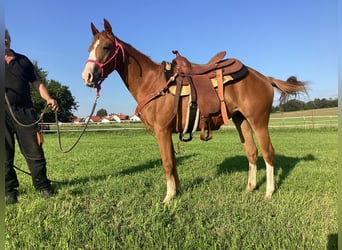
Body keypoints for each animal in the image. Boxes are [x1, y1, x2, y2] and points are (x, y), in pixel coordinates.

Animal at [81, 19, 308, 203]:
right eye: (90, 48)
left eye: (106, 47)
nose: (87, 77)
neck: (153, 83)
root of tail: (265, 78)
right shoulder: (167, 133)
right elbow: (173, 162)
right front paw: (177, 192)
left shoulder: (162, 131)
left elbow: (166, 163)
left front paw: (168, 198)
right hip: (241, 120)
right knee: (251, 152)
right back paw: (250, 188)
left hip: (258, 121)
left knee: (268, 152)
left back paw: (269, 192)